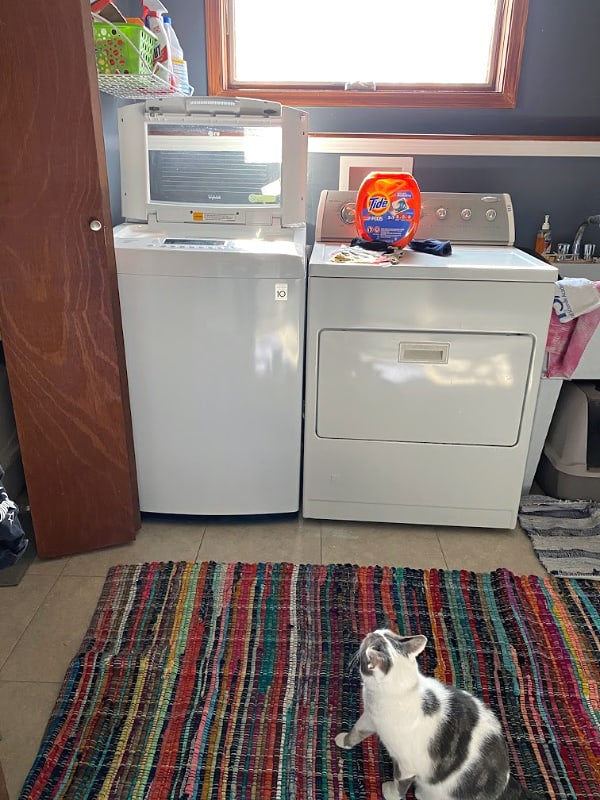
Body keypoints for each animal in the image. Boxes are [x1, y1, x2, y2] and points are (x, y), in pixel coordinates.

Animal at [336, 632, 532, 800]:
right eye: (384, 632)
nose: (371, 633)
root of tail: (506, 781)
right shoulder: (370, 718)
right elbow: (357, 731)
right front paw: (343, 740)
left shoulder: (406, 765)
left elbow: (400, 783)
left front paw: (390, 793)